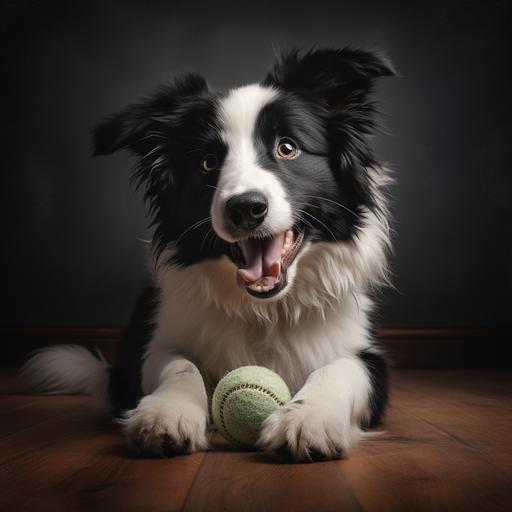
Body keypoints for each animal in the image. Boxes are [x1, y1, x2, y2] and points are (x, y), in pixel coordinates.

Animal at [23, 48, 396, 462]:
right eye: (208, 161)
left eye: (287, 147)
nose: (245, 208)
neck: (265, 311)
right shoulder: (160, 342)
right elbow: (180, 366)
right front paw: (167, 413)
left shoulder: (366, 355)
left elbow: (340, 368)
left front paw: (307, 417)